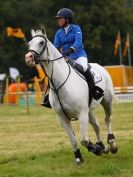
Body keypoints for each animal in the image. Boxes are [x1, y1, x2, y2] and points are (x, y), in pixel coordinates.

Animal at [24, 27, 117, 164]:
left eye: (41, 42)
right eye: (30, 43)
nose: (28, 58)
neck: (60, 84)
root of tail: (100, 67)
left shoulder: (81, 114)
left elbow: (84, 140)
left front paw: (95, 148)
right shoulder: (63, 118)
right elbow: (73, 140)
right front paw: (79, 157)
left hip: (107, 101)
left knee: (107, 119)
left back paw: (111, 143)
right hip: (89, 110)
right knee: (96, 125)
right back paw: (102, 146)